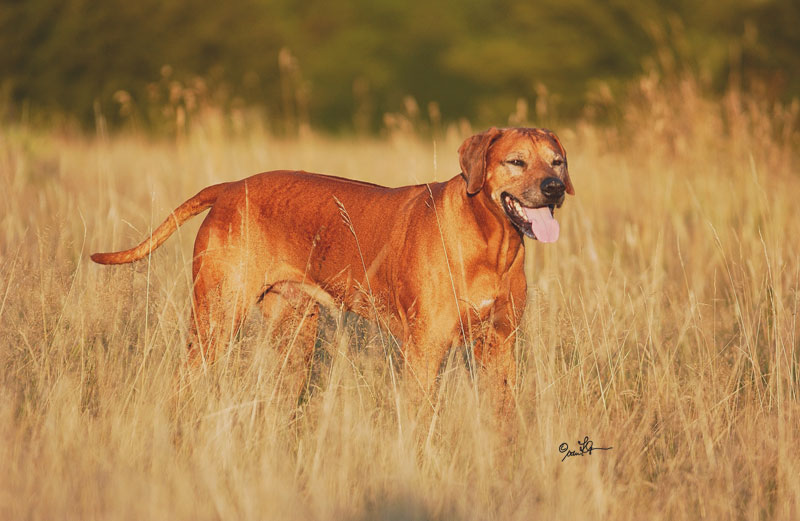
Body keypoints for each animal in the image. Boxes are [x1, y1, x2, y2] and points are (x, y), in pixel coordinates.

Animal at [90, 128, 572, 416]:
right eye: (516, 162)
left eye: (557, 161)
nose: (554, 188)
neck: (494, 242)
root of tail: (229, 188)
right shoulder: (424, 348)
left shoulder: (500, 344)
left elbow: (504, 416)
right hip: (216, 320)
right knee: (185, 381)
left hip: (295, 331)